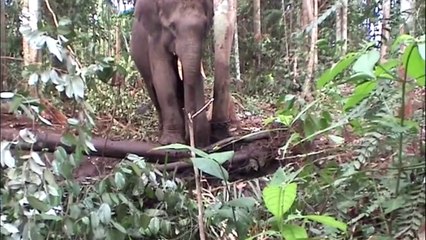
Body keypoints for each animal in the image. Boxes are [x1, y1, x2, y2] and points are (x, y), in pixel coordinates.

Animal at [130, 0, 231, 148]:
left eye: (205, 25)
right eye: (172, 27)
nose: (191, 139)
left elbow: (194, 77)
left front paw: (200, 141)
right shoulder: (154, 38)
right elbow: (164, 76)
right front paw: (171, 142)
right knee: (152, 88)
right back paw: (162, 132)